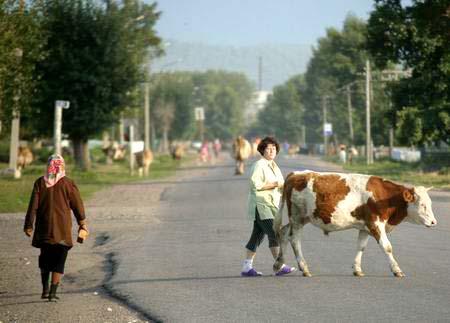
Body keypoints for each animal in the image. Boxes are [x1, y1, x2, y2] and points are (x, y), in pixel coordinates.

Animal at [272, 172, 438, 278]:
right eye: (422, 205)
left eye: (430, 203)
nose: (434, 222)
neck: (385, 198)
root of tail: (295, 174)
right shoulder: (375, 223)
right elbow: (387, 247)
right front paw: (397, 270)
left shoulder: (365, 227)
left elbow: (361, 247)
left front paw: (357, 269)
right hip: (297, 217)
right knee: (294, 239)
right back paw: (304, 268)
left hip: (301, 218)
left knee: (284, 232)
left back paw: (279, 263)